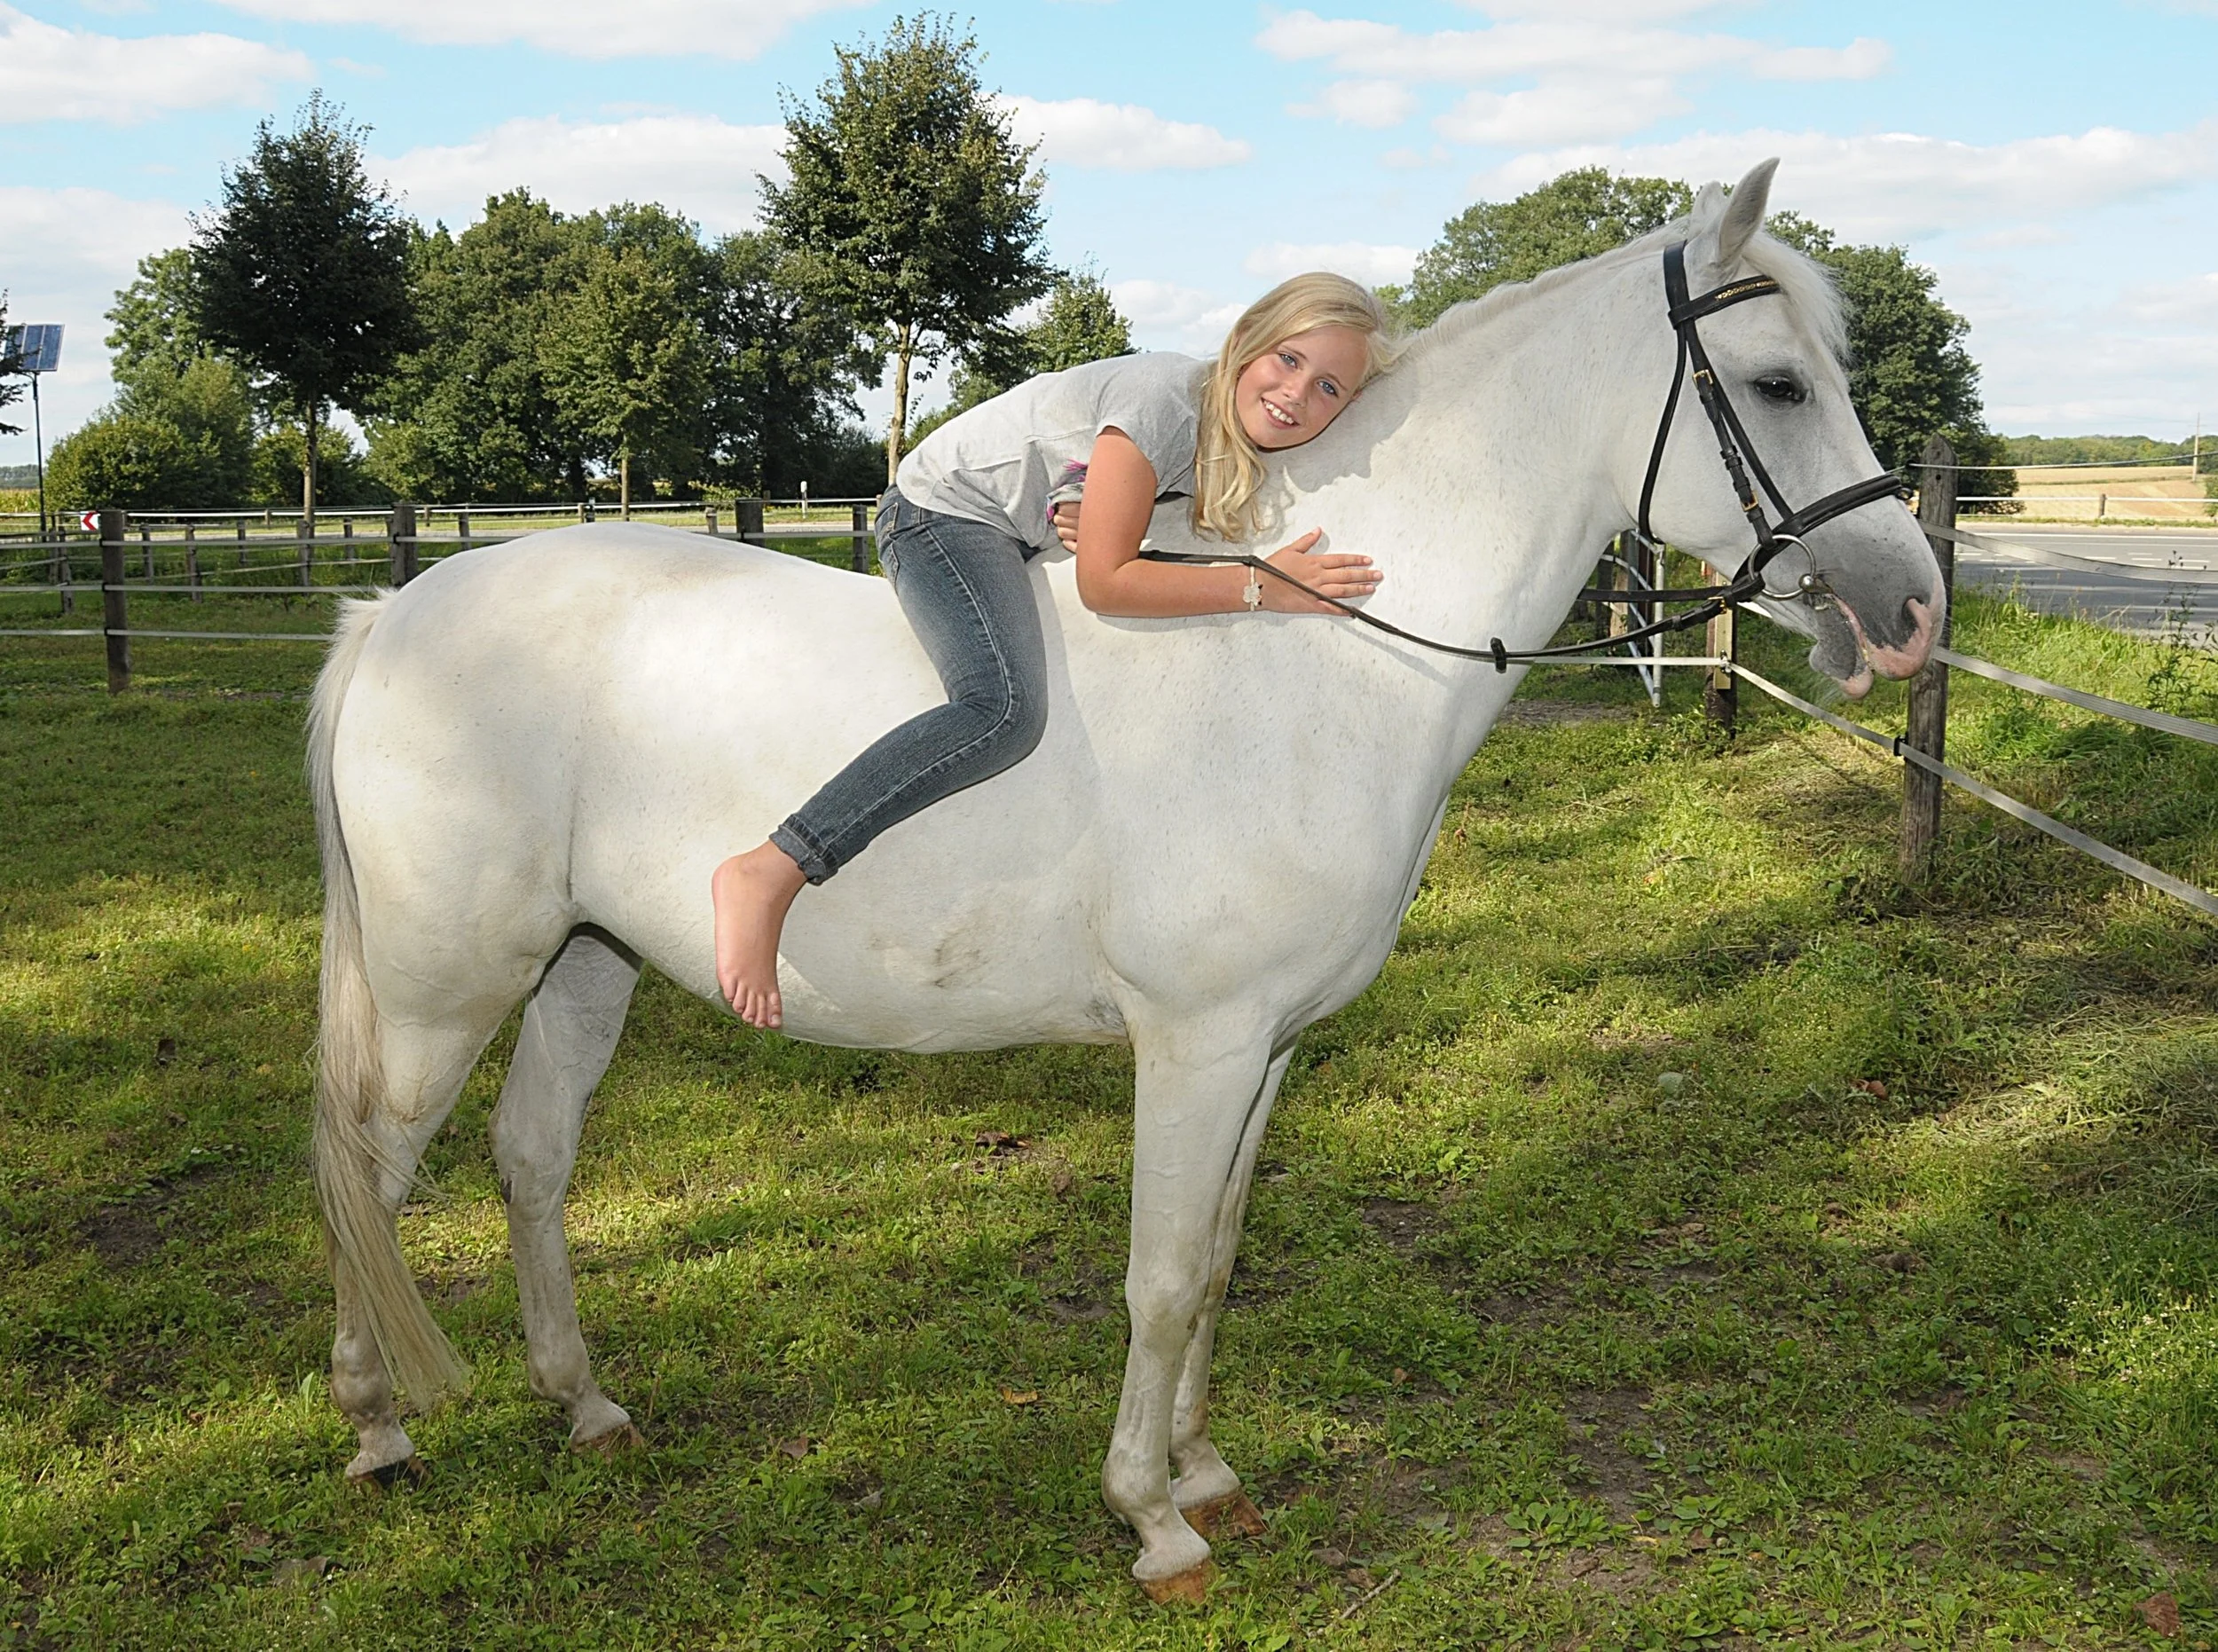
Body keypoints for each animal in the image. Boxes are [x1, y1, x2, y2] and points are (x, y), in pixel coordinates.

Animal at [307, 162, 1941, 1601]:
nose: (1913, 604)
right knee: (370, 1176)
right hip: (447, 983)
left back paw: (581, 1403)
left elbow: (1213, 1260)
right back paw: (378, 1426)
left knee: (530, 1159)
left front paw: (1206, 1468)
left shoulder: (1268, 1046)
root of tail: (393, 613)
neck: (1317, 656)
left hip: (586, 960)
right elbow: (1156, 1275)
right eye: (1780, 384)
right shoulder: (1197, 1042)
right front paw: (1154, 1522)